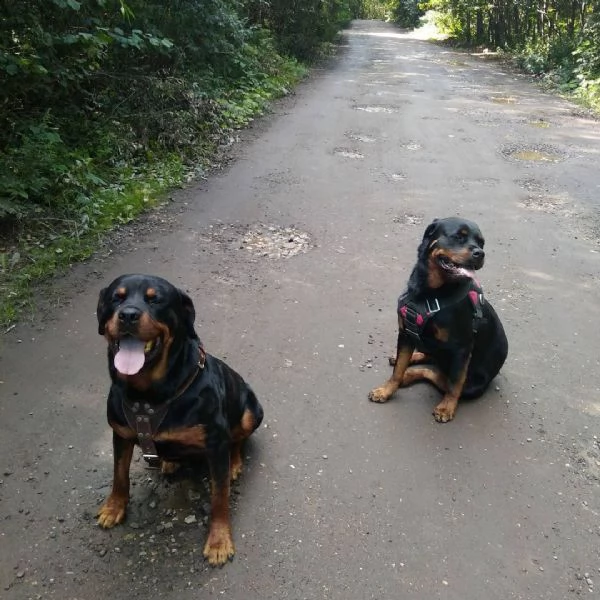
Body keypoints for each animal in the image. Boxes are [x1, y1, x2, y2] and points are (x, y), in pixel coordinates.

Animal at [95, 274, 262, 564]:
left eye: (155, 299)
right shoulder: (121, 433)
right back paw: (169, 462)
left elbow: (219, 496)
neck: (147, 396)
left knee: (239, 439)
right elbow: (119, 474)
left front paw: (219, 541)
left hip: (251, 410)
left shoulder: (216, 443)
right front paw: (114, 507)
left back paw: (234, 464)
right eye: (117, 297)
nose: (128, 315)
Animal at [370, 217, 506, 422]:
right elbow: (398, 369)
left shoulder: (462, 348)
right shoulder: (405, 333)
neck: (429, 294)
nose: (480, 253)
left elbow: (454, 383)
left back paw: (410, 375)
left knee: (438, 375)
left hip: (473, 385)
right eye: (458, 236)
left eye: (481, 243)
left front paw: (446, 407)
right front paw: (386, 390)